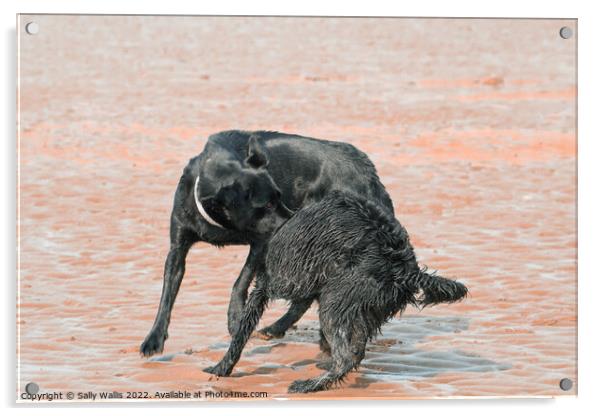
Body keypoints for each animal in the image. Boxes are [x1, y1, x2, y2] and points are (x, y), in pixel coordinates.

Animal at [141, 131, 394, 358]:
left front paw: (235, 316)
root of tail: (368, 171)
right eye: (268, 204)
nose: (295, 219)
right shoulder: (177, 247)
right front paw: (154, 339)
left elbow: (241, 280)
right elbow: (167, 294)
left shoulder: (262, 242)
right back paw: (278, 328)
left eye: (279, 195)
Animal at [204, 192, 466, 394]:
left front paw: (220, 369)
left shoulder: (267, 286)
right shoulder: (309, 286)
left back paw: (309, 385)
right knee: (356, 352)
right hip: (361, 308)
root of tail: (403, 268)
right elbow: (294, 311)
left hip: (334, 304)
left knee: (346, 357)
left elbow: (241, 334)